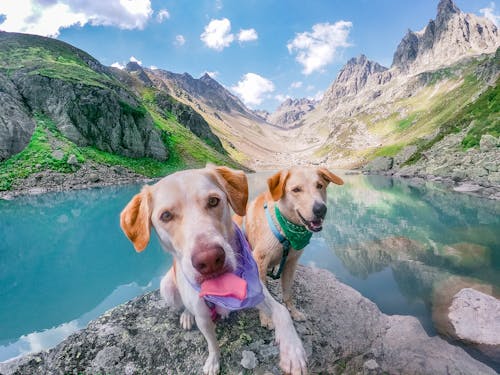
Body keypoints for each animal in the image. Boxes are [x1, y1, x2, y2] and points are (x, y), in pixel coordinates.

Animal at [121, 167, 308, 375]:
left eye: (213, 201)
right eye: (166, 216)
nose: (209, 259)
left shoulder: (256, 291)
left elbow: (281, 311)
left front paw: (293, 350)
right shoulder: (203, 317)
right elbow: (212, 343)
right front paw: (213, 361)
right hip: (167, 288)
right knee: (183, 305)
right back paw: (186, 315)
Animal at [240, 168, 342, 328]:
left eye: (320, 185)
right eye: (296, 190)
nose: (321, 209)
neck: (286, 230)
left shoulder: (290, 263)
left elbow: (288, 292)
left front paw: (293, 312)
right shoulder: (260, 260)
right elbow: (262, 294)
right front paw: (266, 318)